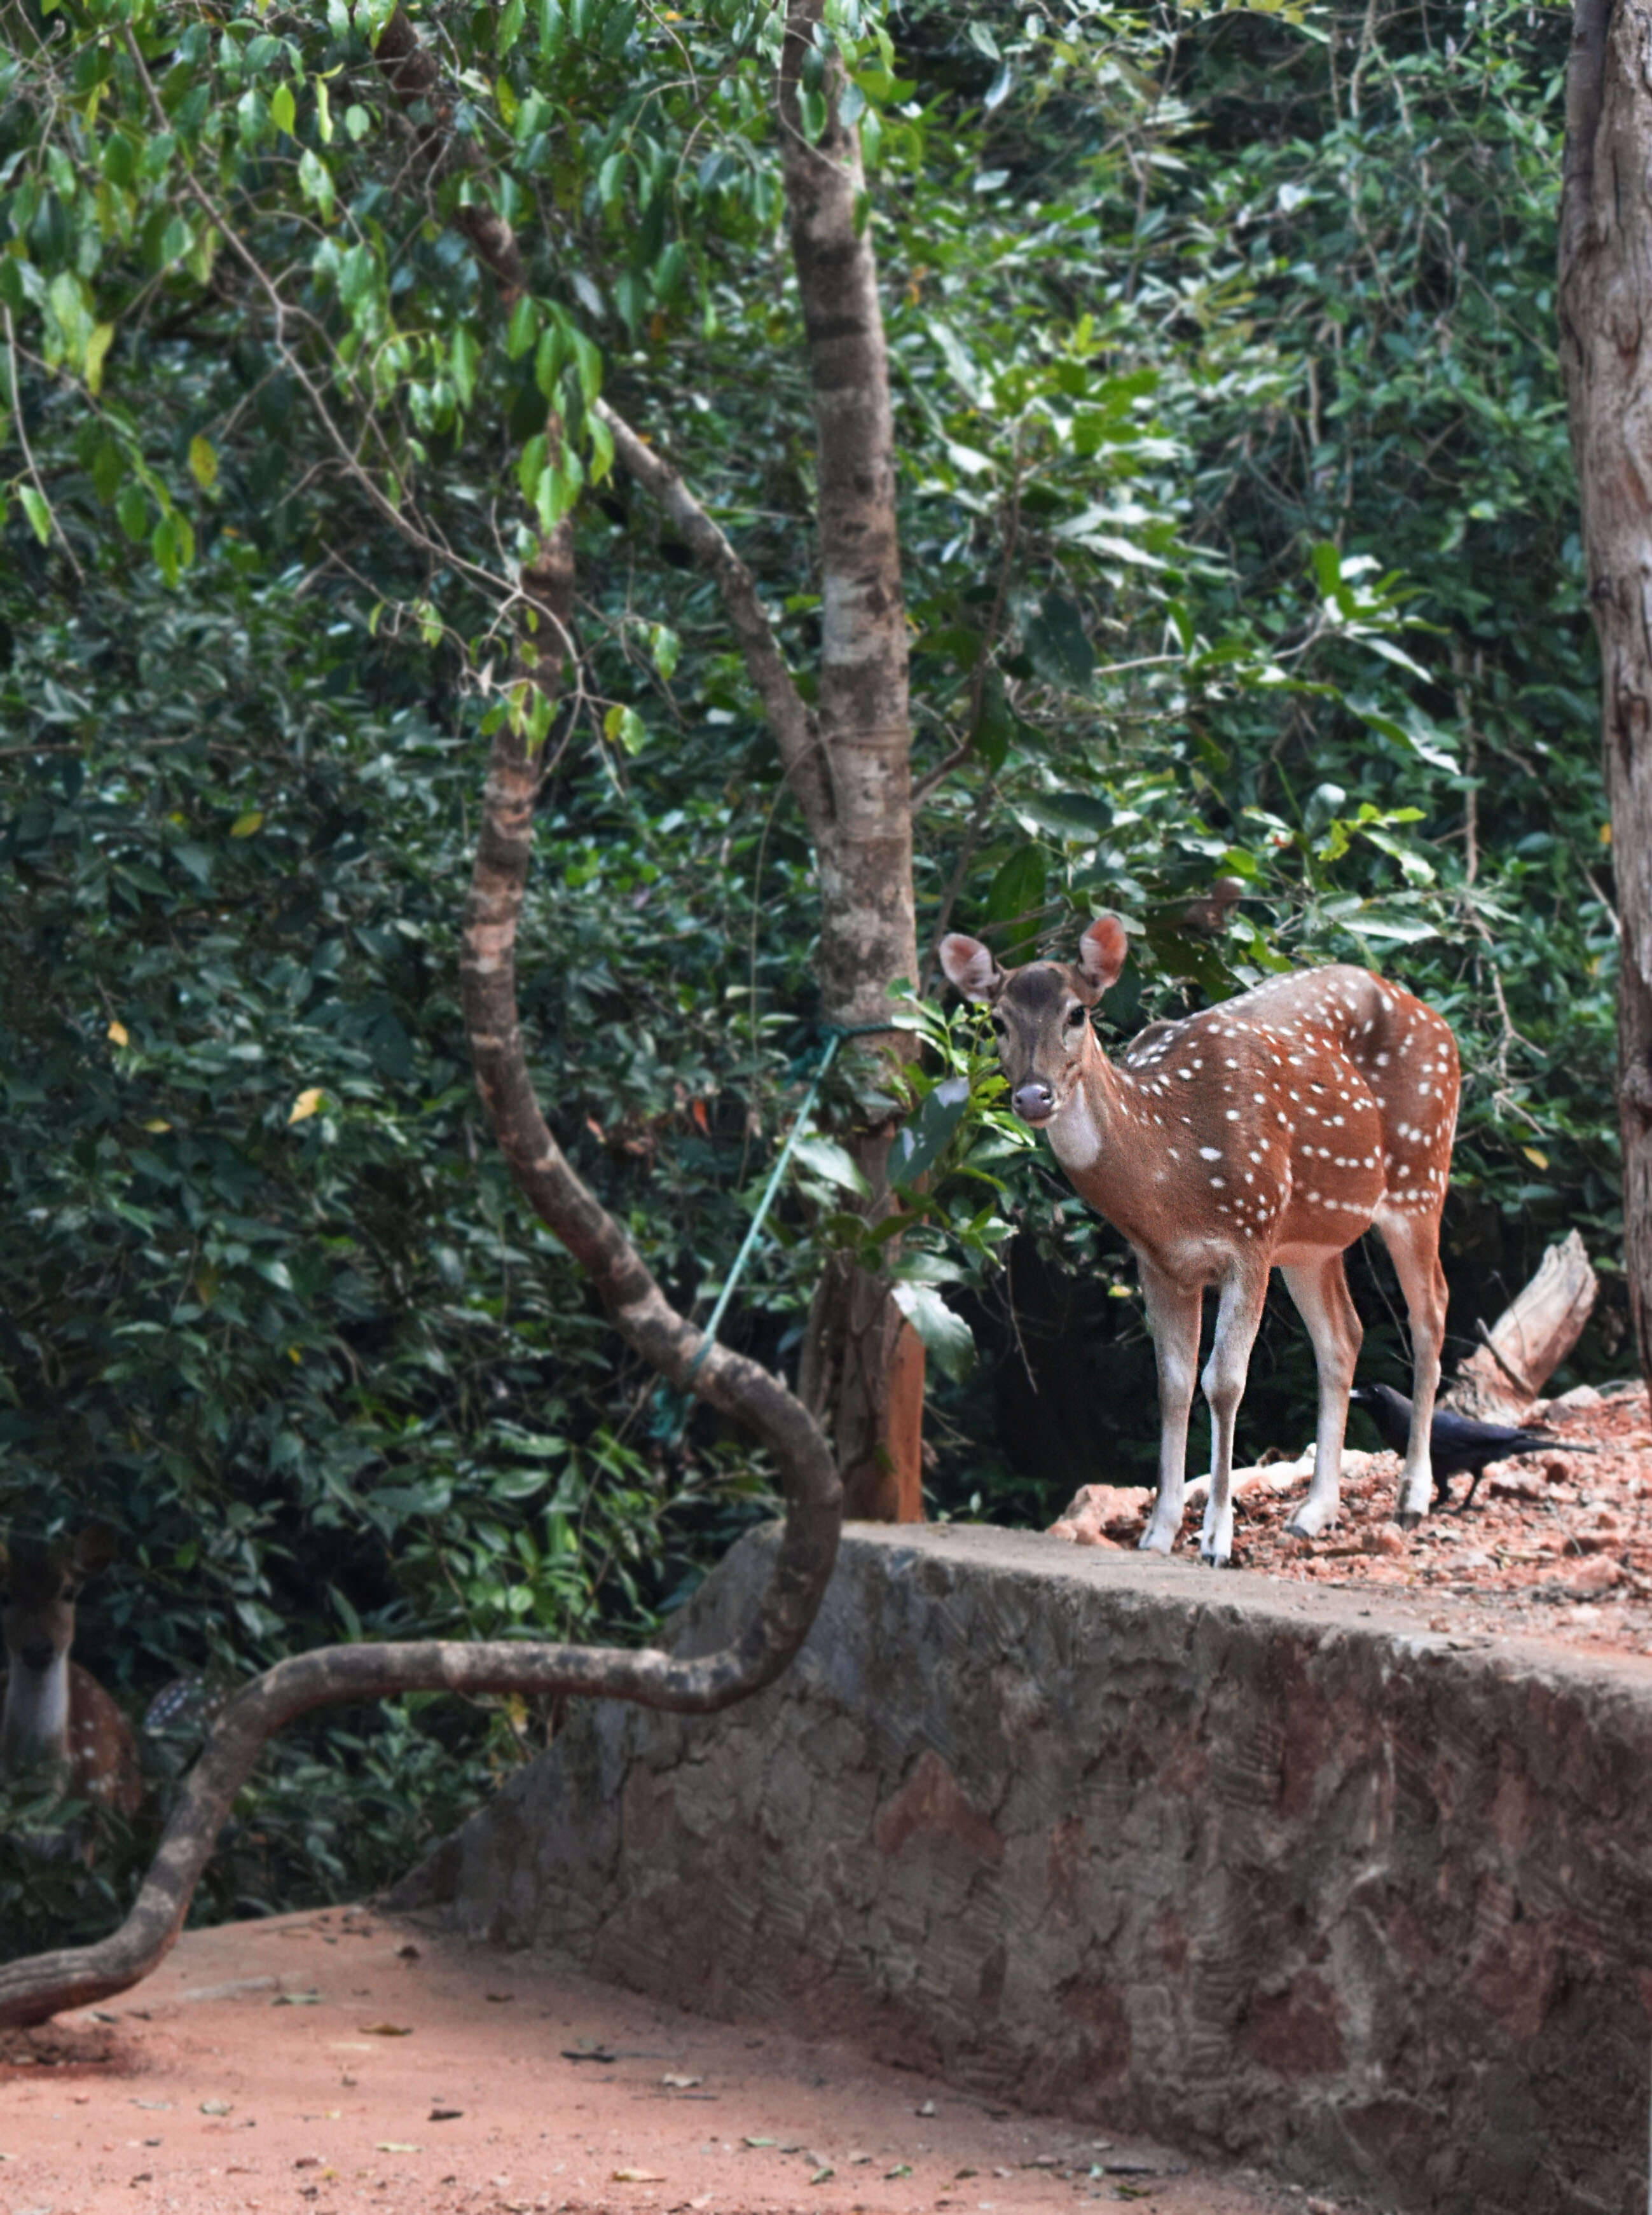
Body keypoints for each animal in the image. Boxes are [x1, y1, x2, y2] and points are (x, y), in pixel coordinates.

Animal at [939, 908, 1452, 1568]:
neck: (1174, 1178)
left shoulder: (1252, 1235)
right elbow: (1173, 1384)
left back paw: (1412, 1498)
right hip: (1310, 1239)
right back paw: (1313, 1511)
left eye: (1077, 1012)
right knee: (1344, 1335)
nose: (1033, 1095)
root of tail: (1438, 1021)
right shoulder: (1159, 1263)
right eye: (998, 1020)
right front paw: (1158, 1532)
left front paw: (1216, 1538)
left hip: (1420, 1175)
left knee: (1430, 1311)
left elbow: (1225, 1381)